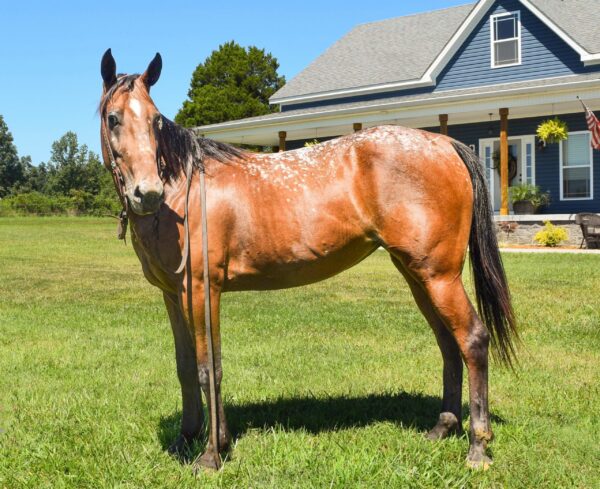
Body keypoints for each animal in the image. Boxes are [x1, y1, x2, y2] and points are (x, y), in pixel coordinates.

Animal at [97, 48, 516, 468]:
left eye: (154, 120)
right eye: (114, 118)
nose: (147, 193)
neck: (182, 193)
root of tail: (444, 145)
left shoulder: (202, 290)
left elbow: (207, 369)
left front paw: (212, 454)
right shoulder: (173, 294)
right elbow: (185, 368)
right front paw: (185, 439)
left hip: (439, 276)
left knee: (473, 340)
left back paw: (477, 448)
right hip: (417, 276)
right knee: (448, 343)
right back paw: (441, 428)